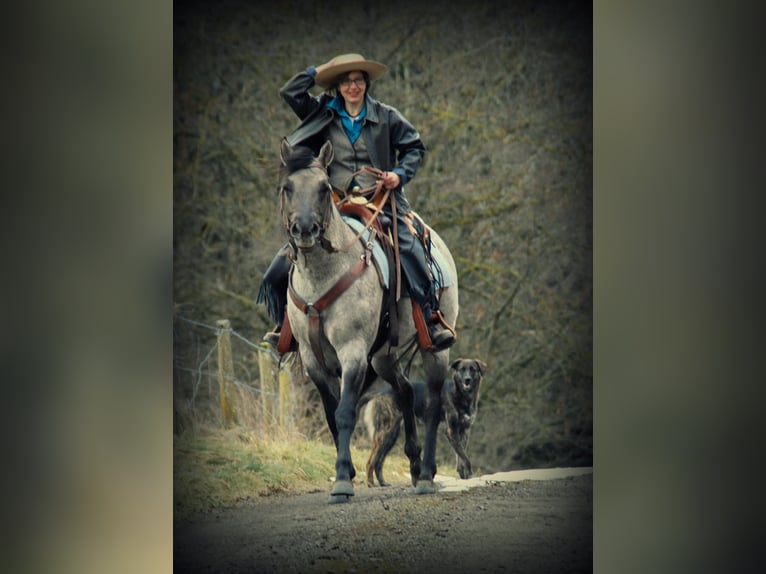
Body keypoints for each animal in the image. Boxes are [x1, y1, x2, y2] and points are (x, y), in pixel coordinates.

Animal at [280, 140, 460, 504]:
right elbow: (332, 415)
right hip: (383, 356)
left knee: (433, 406)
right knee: (405, 391)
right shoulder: (314, 360)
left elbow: (345, 412)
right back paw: (413, 462)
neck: (322, 274)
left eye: (323, 188)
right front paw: (345, 470)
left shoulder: (352, 352)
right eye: (287, 187)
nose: (305, 230)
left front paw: (342, 482)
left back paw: (425, 475)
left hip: (433, 351)